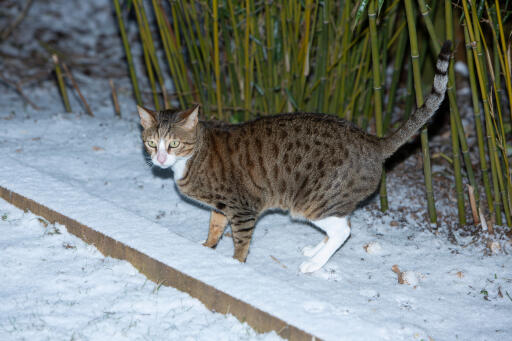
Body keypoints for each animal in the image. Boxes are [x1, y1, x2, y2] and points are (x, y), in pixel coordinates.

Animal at [137, 41, 452, 272]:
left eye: (174, 143)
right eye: (151, 143)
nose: (160, 159)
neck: (193, 156)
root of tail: (373, 141)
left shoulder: (242, 207)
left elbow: (241, 240)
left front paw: (235, 264)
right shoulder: (223, 205)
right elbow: (215, 227)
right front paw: (205, 248)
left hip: (312, 202)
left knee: (344, 230)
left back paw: (314, 264)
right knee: (343, 224)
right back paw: (316, 250)